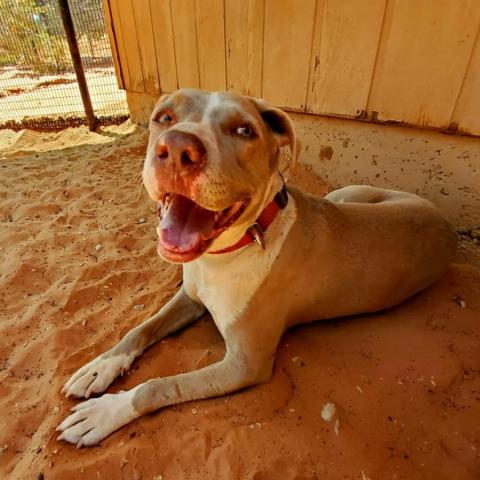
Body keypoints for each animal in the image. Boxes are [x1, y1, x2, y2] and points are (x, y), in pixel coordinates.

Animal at [57, 89, 458, 446]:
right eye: (165, 117)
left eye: (243, 130)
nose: (177, 148)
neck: (227, 252)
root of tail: (446, 222)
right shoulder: (191, 298)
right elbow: (139, 329)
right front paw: (100, 366)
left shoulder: (245, 364)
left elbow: (156, 386)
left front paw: (106, 411)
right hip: (345, 195)